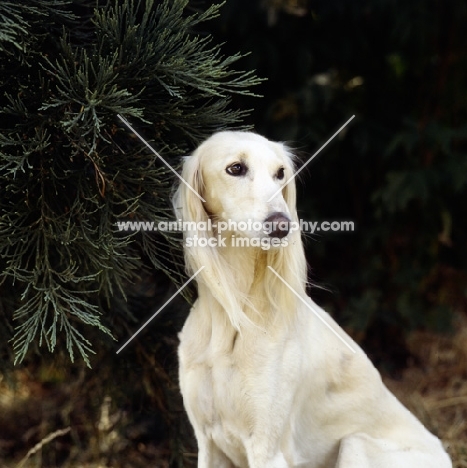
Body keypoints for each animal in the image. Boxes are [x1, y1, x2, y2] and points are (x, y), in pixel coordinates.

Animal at [173, 132, 454, 468]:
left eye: (280, 173)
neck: (234, 312)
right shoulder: (208, 443)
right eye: (236, 168)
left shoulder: (266, 448)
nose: (282, 226)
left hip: (355, 444)